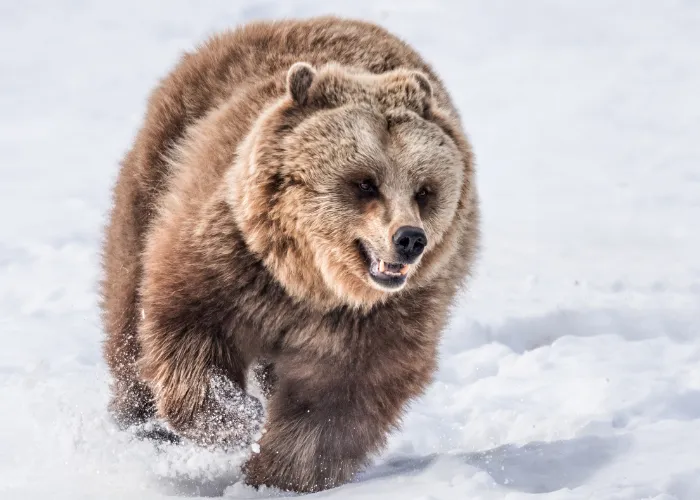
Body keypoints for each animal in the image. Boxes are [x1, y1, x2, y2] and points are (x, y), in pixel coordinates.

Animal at [101, 15, 478, 492]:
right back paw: (138, 420)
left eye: (425, 190)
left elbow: (334, 403)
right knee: (129, 309)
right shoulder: (229, 262)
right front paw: (234, 420)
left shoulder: (380, 321)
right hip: (158, 172)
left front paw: (277, 474)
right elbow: (189, 335)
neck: (310, 283)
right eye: (365, 182)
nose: (410, 239)